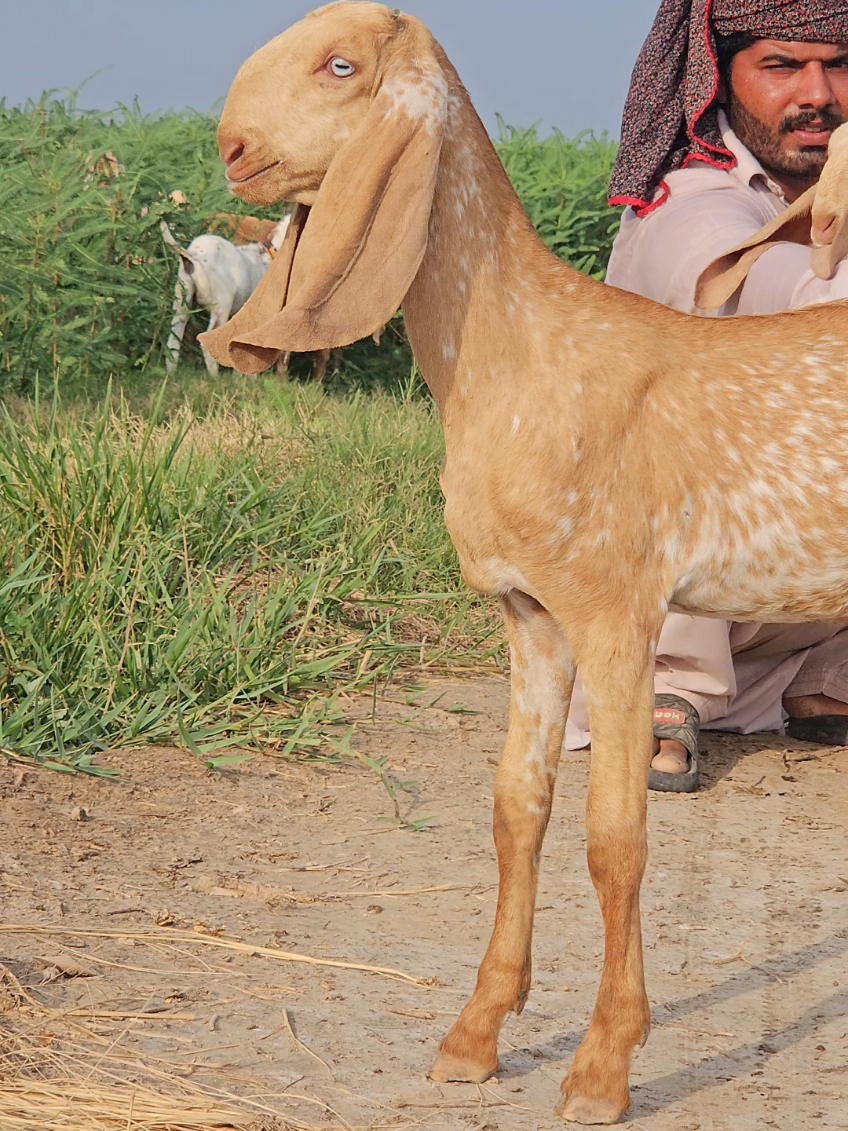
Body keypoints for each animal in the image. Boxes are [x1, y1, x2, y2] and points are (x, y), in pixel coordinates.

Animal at [199, 4, 848, 1124]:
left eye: (340, 65)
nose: (234, 150)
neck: (518, 351)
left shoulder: (618, 610)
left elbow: (616, 836)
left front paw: (602, 1066)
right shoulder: (529, 612)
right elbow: (517, 809)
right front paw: (473, 1035)